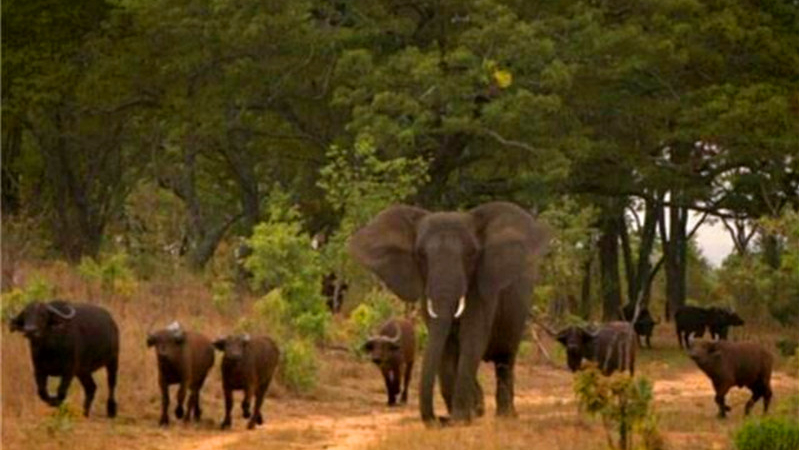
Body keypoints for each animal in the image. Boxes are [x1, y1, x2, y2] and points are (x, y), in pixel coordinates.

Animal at [350, 202, 552, 424]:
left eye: (472, 254)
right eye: (420, 255)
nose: (439, 419)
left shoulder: (482, 288)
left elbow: (471, 339)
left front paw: (460, 419)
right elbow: (446, 345)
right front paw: (462, 416)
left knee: (505, 358)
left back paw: (505, 416)